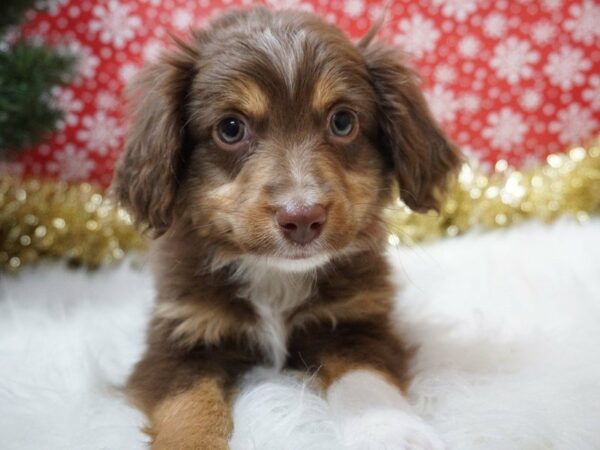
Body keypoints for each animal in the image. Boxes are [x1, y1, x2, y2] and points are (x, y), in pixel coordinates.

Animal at [112, 5, 460, 448]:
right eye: (230, 128)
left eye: (342, 122)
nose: (302, 217)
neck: (274, 277)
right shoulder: (180, 336)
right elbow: (188, 408)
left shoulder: (356, 322)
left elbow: (367, 383)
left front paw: (393, 435)